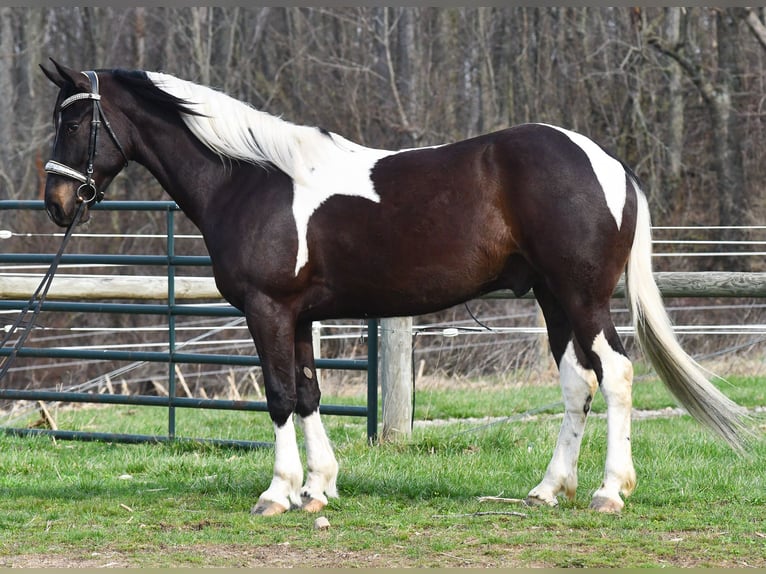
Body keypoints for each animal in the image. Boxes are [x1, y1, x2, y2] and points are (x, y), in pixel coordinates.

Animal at [40, 59, 748, 515]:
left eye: (73, 124)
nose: (56, 202)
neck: (251, 178)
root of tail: (608, 162)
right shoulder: (298, 315)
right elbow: (307, 392)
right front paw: (317, 488)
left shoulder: (267, 310)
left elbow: (278, 395)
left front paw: (276, 492)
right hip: (553, 300)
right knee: (578, 381)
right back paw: (550, 490)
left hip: (583, 297)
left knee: (617, 374)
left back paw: (608, 492)